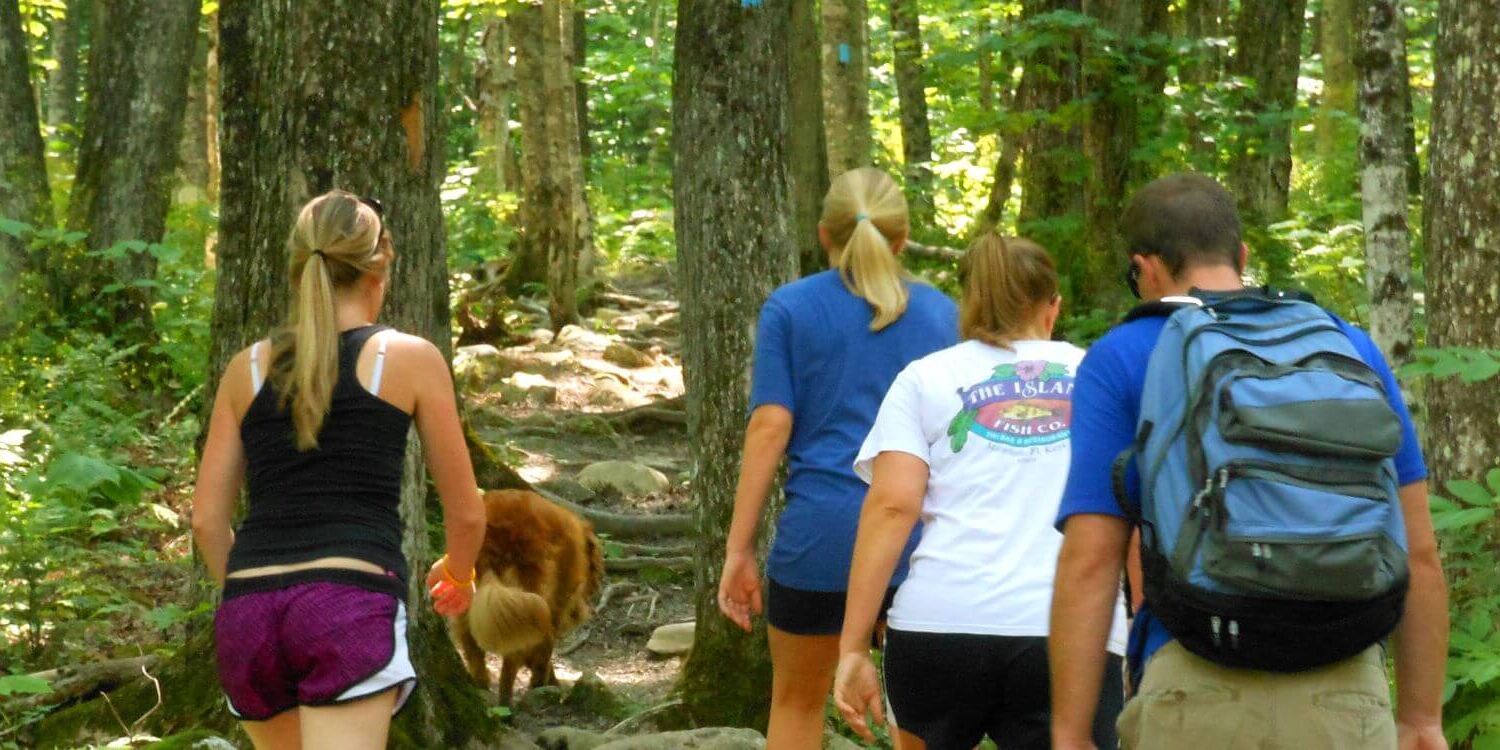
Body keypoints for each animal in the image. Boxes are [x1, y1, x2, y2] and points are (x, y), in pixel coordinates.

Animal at [447, 489, 606, 705]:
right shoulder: (555, 605)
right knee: (514, 657)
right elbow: (544, 652)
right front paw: (546, 684)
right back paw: (509, 699)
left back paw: (481, 685)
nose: (596, 587)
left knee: (471, 644)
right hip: (532, 597)